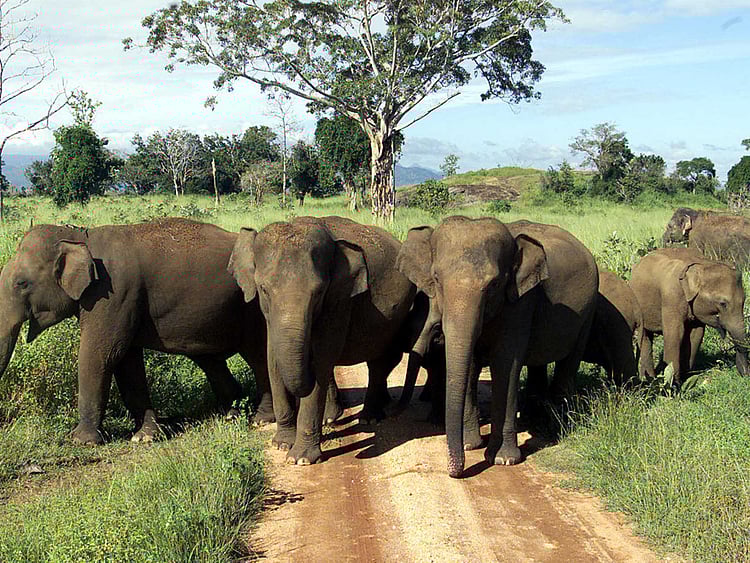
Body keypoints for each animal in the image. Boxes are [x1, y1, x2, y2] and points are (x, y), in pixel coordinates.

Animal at [0, 218, 272, 444]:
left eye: (21, 283)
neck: (79, 235)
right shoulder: (121, 302)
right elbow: (126, 362)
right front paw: (146, 436)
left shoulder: (112, 294)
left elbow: (101, 355)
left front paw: (81, 440)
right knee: (210, 359)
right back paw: (231, 414)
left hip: (253, 309)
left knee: (258, 355)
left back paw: (262, 419)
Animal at [228, 216, 416, 465]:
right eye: (263, 289)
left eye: (318, 293)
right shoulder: (268, 315)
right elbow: (273, 360)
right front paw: (281, 444)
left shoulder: (339, 300)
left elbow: (321, 359)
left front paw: (300, 459)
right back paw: (332, 418)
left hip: (395, 317)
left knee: (378, 362)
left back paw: (369, 418)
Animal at [397, 217, 598, 478]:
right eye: (437, 278)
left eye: (494, 284)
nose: (455, 471)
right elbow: (471, 363)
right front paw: (469, 445)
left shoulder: (520, 302)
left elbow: (506, 364)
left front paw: (503, 459)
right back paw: (533, 417)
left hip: (588, 311)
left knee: (569, 363)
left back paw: (557, 425)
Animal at [630, 247, 749, 383]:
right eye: (722, 303)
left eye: (744, 301)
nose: (745, 374)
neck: (702, 264)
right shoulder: (671, 297)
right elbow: (675, 334)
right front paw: (673, 385)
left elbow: (696, 334)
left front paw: (685, 378)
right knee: (645, 336)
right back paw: (649, 380)